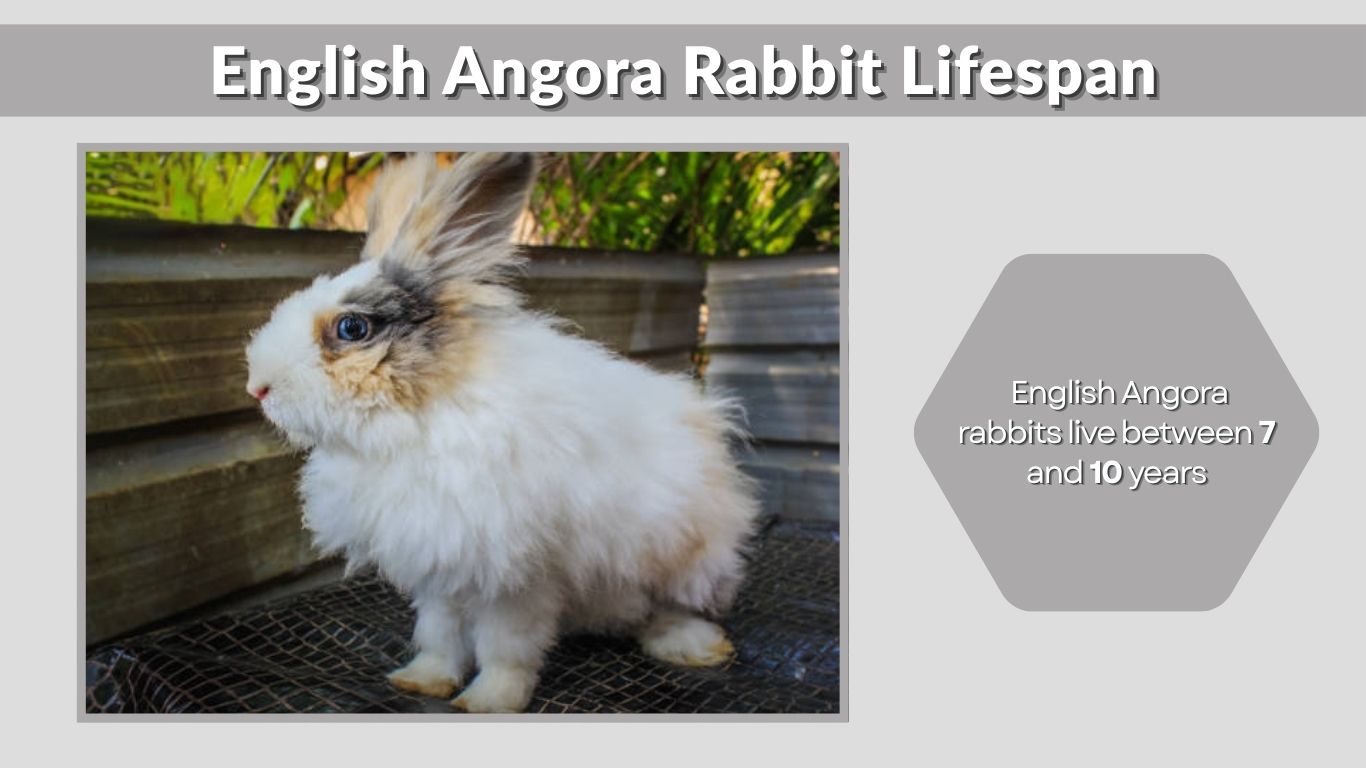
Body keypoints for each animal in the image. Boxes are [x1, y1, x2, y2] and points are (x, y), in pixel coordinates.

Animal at [244, 152, 761, 713]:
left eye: (351, 329)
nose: (257, 388)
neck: (418, 417)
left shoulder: (517, 577)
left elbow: (505, 648)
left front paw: (488, 702)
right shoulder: (442, 565)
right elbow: (440, 634)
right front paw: (422, 682)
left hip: (687, 561)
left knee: (667, 610)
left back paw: (695, 647)